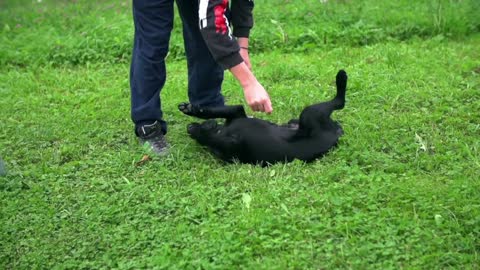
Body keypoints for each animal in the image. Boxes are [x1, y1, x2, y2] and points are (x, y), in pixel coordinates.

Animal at [178, 69, 346, 166]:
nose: (189, 127)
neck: (221, 131)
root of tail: (337, 133)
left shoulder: (236, 112)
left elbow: (213, 111)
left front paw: (192, 109)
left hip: (306, 115)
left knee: (339, 102)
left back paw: (341, 76)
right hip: (309, 114)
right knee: (339, 102)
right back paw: (342, 77)